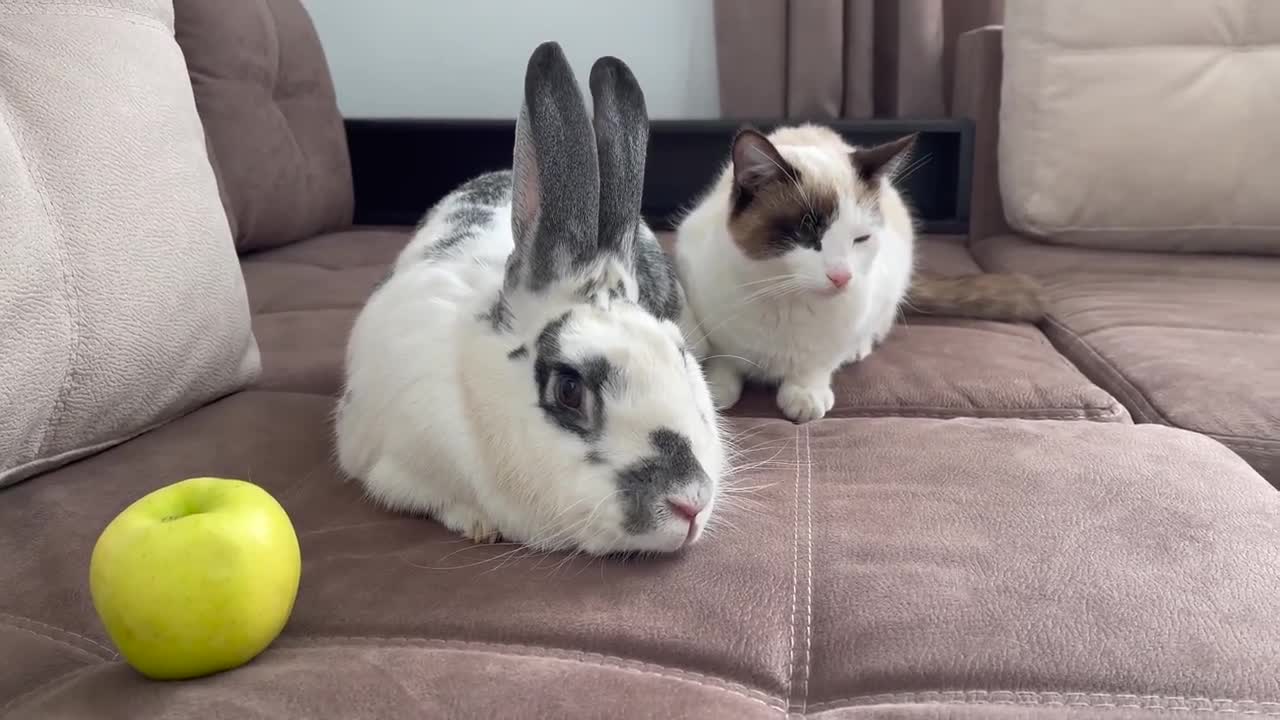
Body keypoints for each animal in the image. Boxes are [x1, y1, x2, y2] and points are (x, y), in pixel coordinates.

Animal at [675, 122, 1044, 420]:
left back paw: (858, 349)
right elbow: (724, 359)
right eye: (807, 235)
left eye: (860, 239)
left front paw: (805, 393)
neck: (786, 301)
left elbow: (817, 363)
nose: (842, 277)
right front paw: (713, 389)